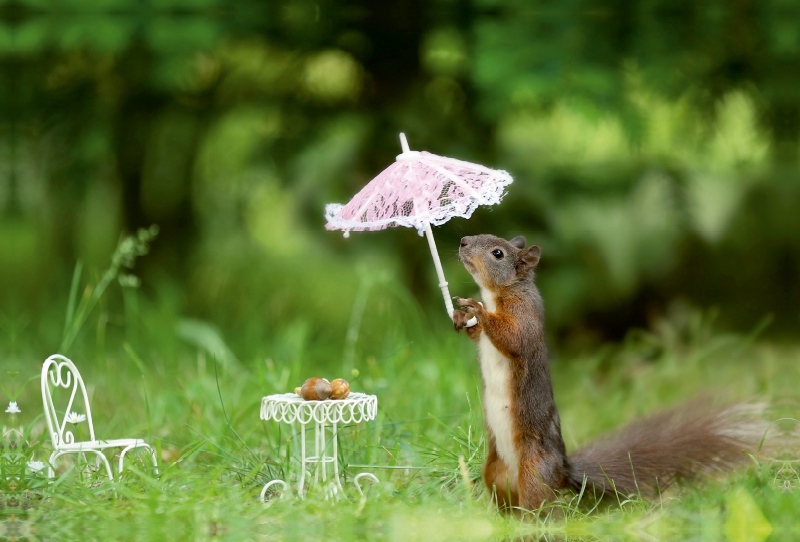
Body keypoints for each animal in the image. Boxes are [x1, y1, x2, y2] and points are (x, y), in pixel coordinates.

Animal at [454, 235, 760, 516]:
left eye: (497, 253)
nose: (463, 241)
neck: (497, 294)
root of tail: (563, 471)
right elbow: (477, 334)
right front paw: (461, 317)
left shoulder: (524, 314)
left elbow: (514, 338)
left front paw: (476, 309)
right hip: (494, 473)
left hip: (533, 471)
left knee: (540, 509)